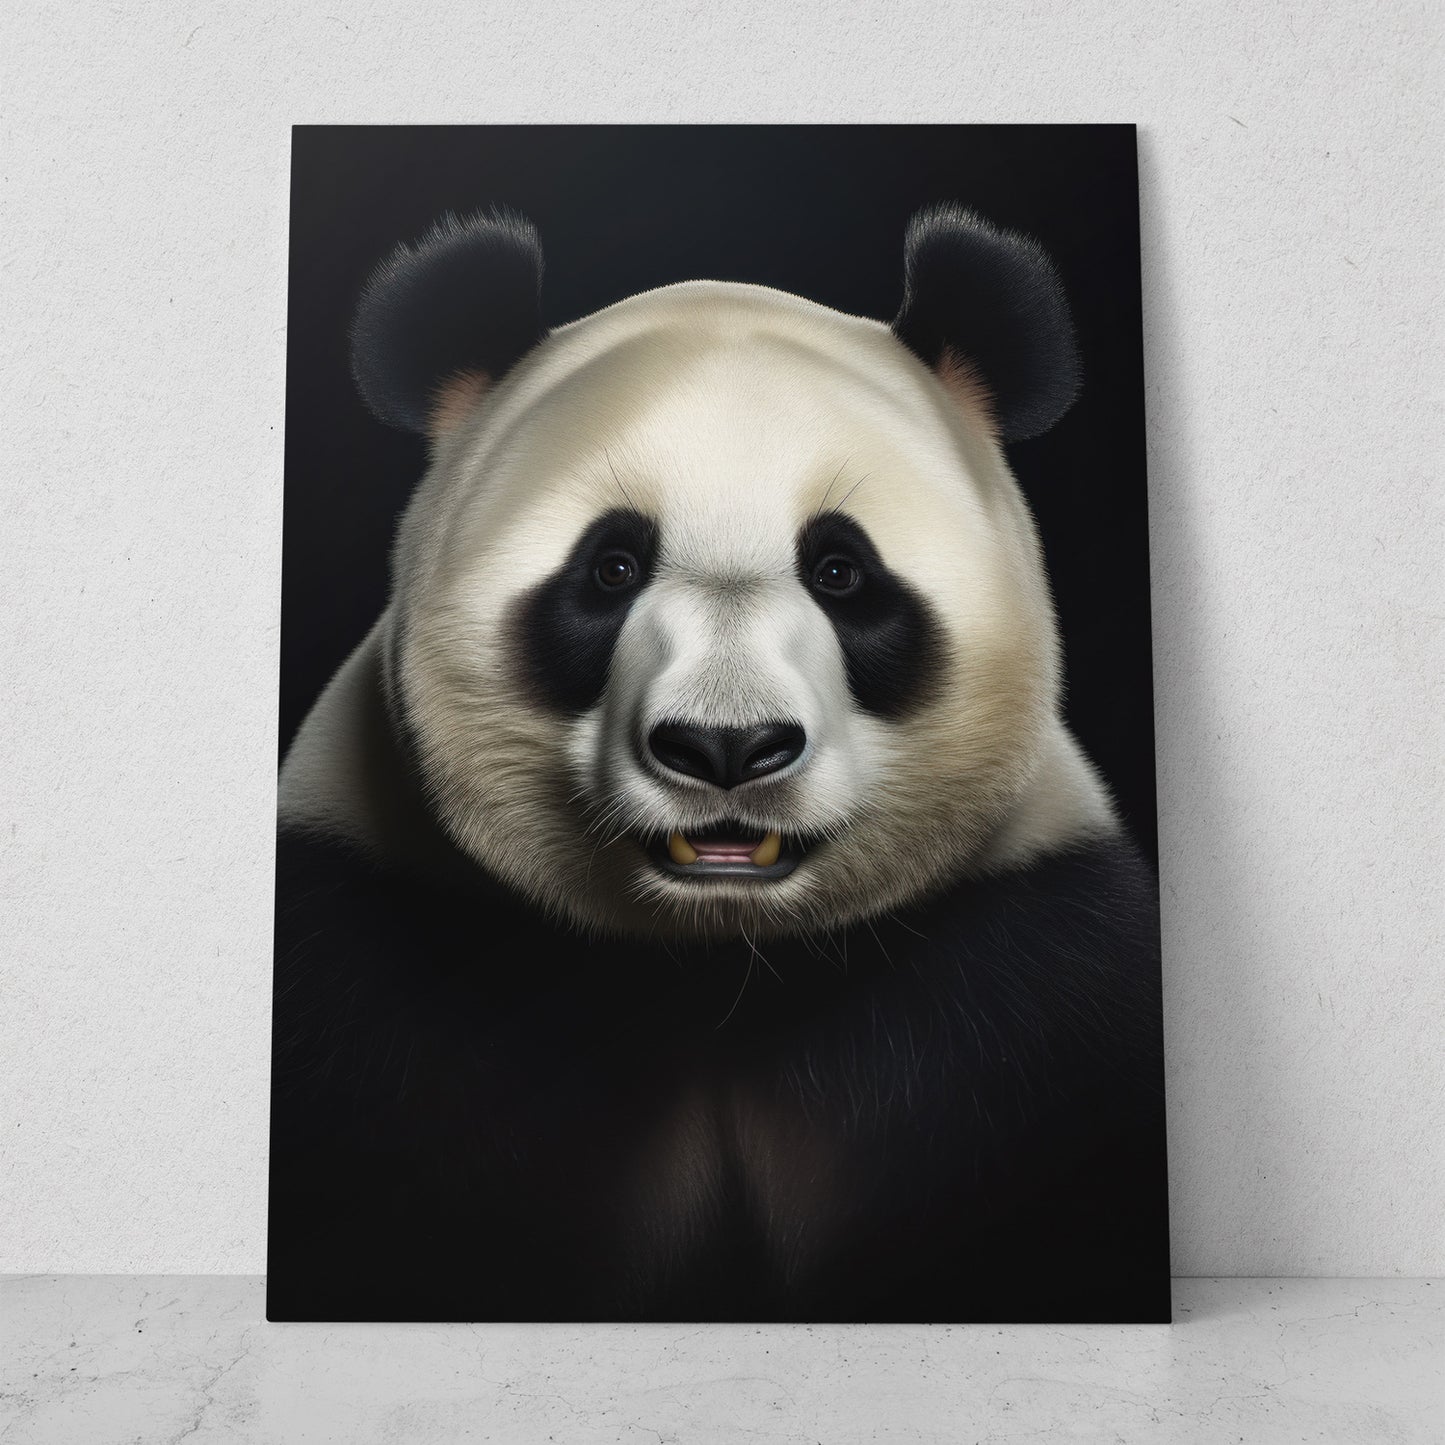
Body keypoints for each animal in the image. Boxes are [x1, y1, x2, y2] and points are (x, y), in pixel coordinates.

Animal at [267, 206, 1169, 1323]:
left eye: (841, 571)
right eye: (610, 567)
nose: (725, 746)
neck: (721, 973)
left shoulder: (1023, 974)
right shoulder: (379, 953)